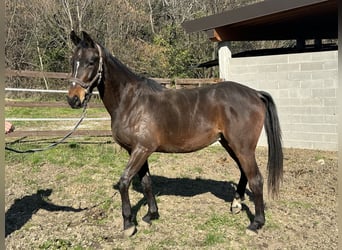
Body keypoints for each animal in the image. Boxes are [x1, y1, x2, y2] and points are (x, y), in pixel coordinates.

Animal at [67, 31, 284, 236]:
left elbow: (124, 182)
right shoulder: (138, 151)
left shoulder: (141, 150)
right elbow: (146, 182)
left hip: (242, 147)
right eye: (73, 61)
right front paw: (151, 215)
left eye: (91, 61)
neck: (132, 102)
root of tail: (255, 93)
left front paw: (128, 224)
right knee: (244, 172)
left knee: (256, 179)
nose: (73, 99)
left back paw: (256, 223)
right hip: (230, 144)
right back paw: (236, 205)